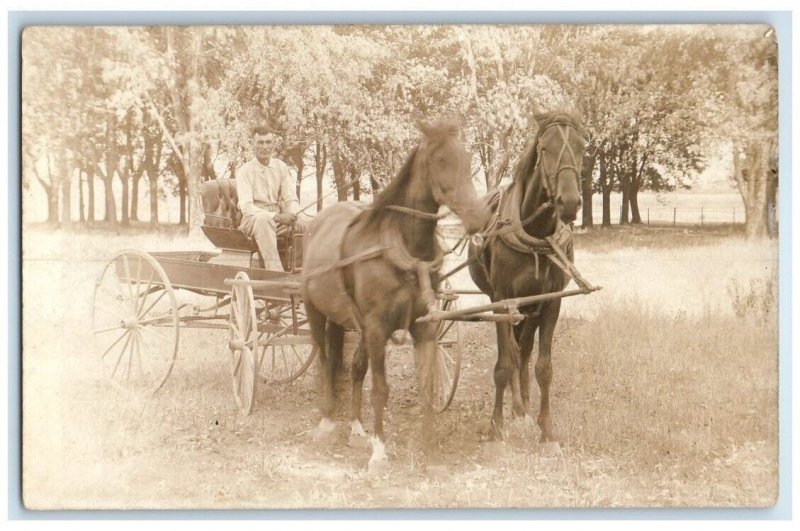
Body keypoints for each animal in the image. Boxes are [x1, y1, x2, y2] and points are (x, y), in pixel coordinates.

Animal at [300, 120, 488, 474]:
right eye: (441, 160)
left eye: (467, 159)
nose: (478, 218)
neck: (406, 249)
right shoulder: (376, 328)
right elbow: (380, 389)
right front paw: (380, 452)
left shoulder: (424, 326)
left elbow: (425, 387)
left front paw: (430, 454)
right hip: (316, 311)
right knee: (324, 360)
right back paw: (327, 422)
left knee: (355, 365)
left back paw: (356, 428)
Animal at [466, 111, 584, 448]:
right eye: (544, 148)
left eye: (582, 147)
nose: (569, 202)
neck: (536, 235)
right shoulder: (502, 300)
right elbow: (505, 364)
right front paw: (497, 424)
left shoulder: (551, 302)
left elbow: (543, 367)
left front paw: (546, 431)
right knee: (514, 352)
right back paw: (516, 406)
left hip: (530, 309)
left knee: (525, 348)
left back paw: (525, 403)